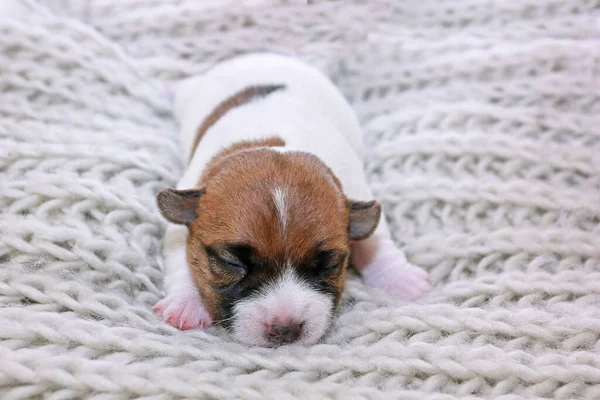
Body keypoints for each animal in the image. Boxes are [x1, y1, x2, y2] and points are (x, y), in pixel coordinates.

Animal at [152, 53, 428, 346]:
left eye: (330, 264)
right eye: (232, 263)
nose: (285, 329)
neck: (279, 147)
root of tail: (262, 55)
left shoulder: (357, 193)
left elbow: (377, 241)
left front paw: (402, 279)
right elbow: (180, 258)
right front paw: (186, 302)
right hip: (192, 94)